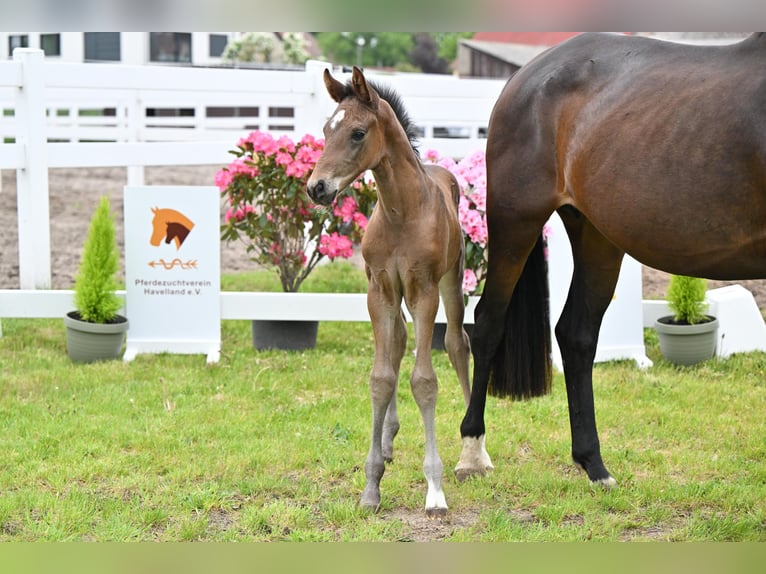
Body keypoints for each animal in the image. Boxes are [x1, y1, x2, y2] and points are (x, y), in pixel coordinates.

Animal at [306, 66, 473, 516]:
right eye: (326, 130)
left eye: (358, 133)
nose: (316, 187)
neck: (403, 213)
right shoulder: (379, 289)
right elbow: (382, 377)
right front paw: (371, 485)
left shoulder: (424, 290)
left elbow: (424, 381)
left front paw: (435, 490)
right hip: (397, 298)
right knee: (397, 340)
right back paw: (387, 441)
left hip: (452, 282)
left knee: (457, 344)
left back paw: (474, 454)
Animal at [456, 32, 766, 487]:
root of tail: (524, 77)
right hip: (516, 222)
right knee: (488, 324)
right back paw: (473, 453)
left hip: (597, 236)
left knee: (576, 334)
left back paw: (593, 465)